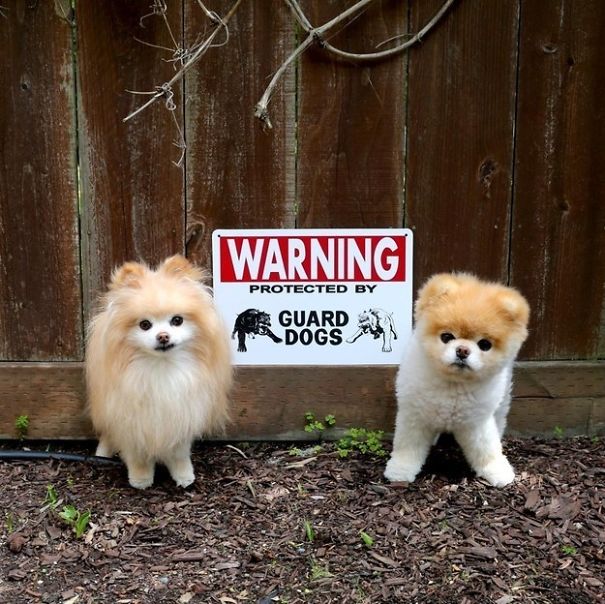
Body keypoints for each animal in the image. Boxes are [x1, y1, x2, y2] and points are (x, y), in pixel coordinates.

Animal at [86, 255, 232, 490]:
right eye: (145, 324)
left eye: (177, 320)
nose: (163, 336)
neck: (161, 368)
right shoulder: (132, 420)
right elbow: (137, 455)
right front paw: (141, 479)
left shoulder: (180, 414)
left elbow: (179, 453)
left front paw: (184, 475)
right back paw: (102, 455)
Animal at [382, 272, 528, 486]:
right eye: (446, 337)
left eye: (484, 345)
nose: (462, 350)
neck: (454, 385)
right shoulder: (415, 416)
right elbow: (407, 445)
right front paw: (400, 469)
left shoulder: (477, 423)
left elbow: (487, 449)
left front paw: (497, 470)